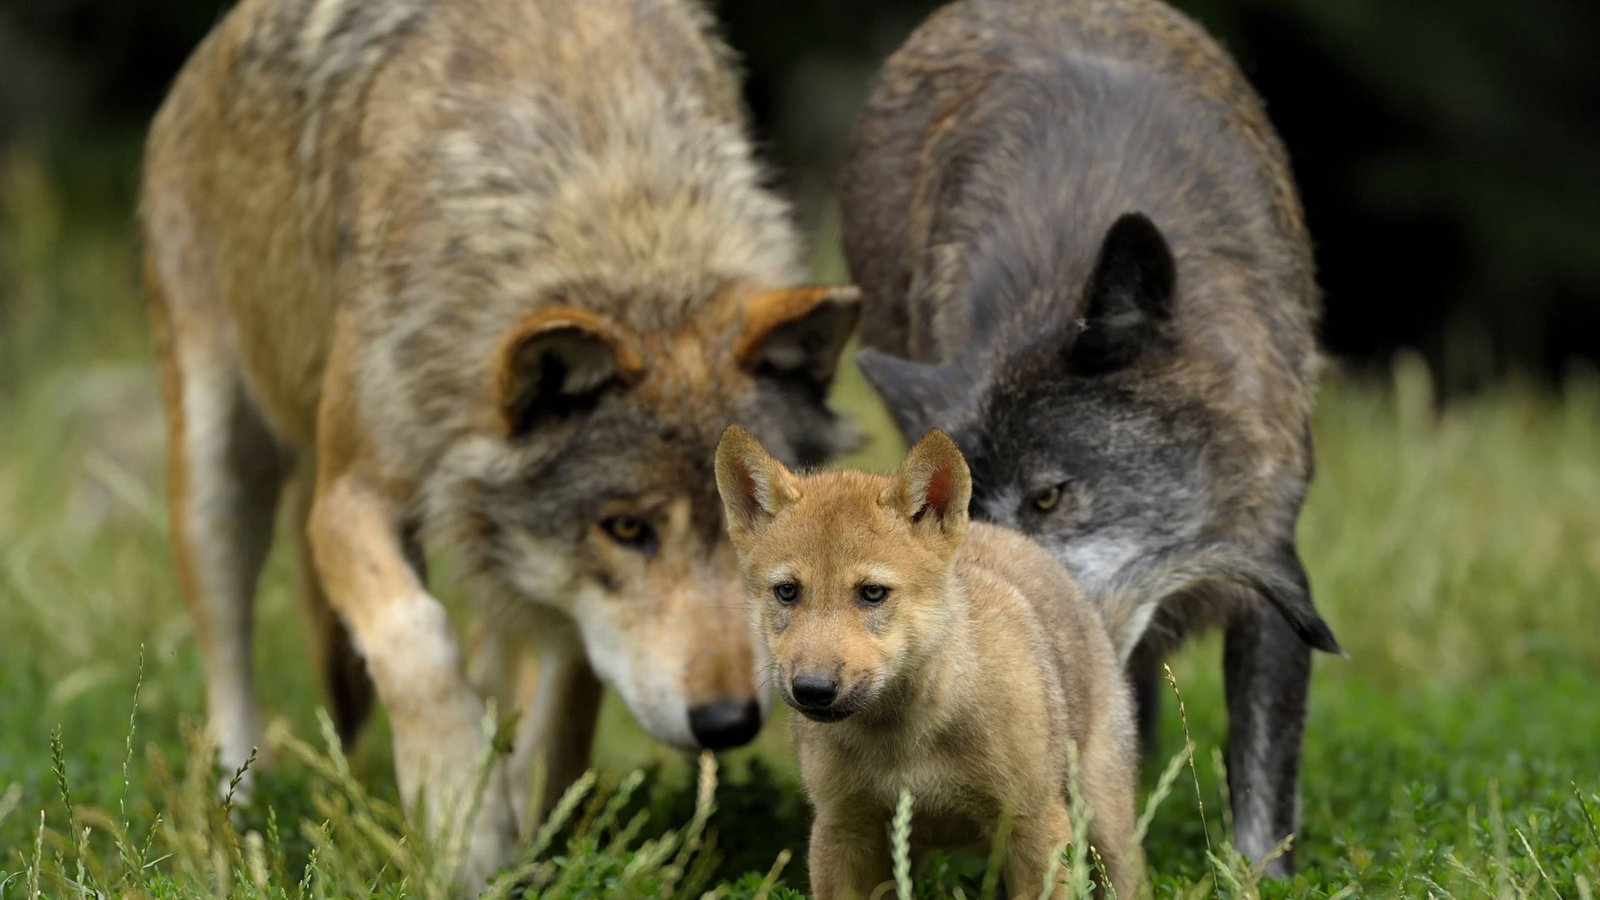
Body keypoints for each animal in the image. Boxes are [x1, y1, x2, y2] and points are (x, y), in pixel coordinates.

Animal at [142, 0, 859, 881]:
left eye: (750, 540)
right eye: (628, 528)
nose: (727, 722)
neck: (617, 210)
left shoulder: (555, 577)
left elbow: (563, 703)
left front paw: (531, 833)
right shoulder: (347, 501)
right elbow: (415, 635)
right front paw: (463, 825)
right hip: (221, 479)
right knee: (230, 665)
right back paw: (240, 822)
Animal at [717, 426, 1141, 899]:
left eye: (872, 593)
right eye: (787, 592)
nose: (812, 689)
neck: (904, 742)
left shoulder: (1034, 822)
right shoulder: (843, 828)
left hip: (1104, 822)